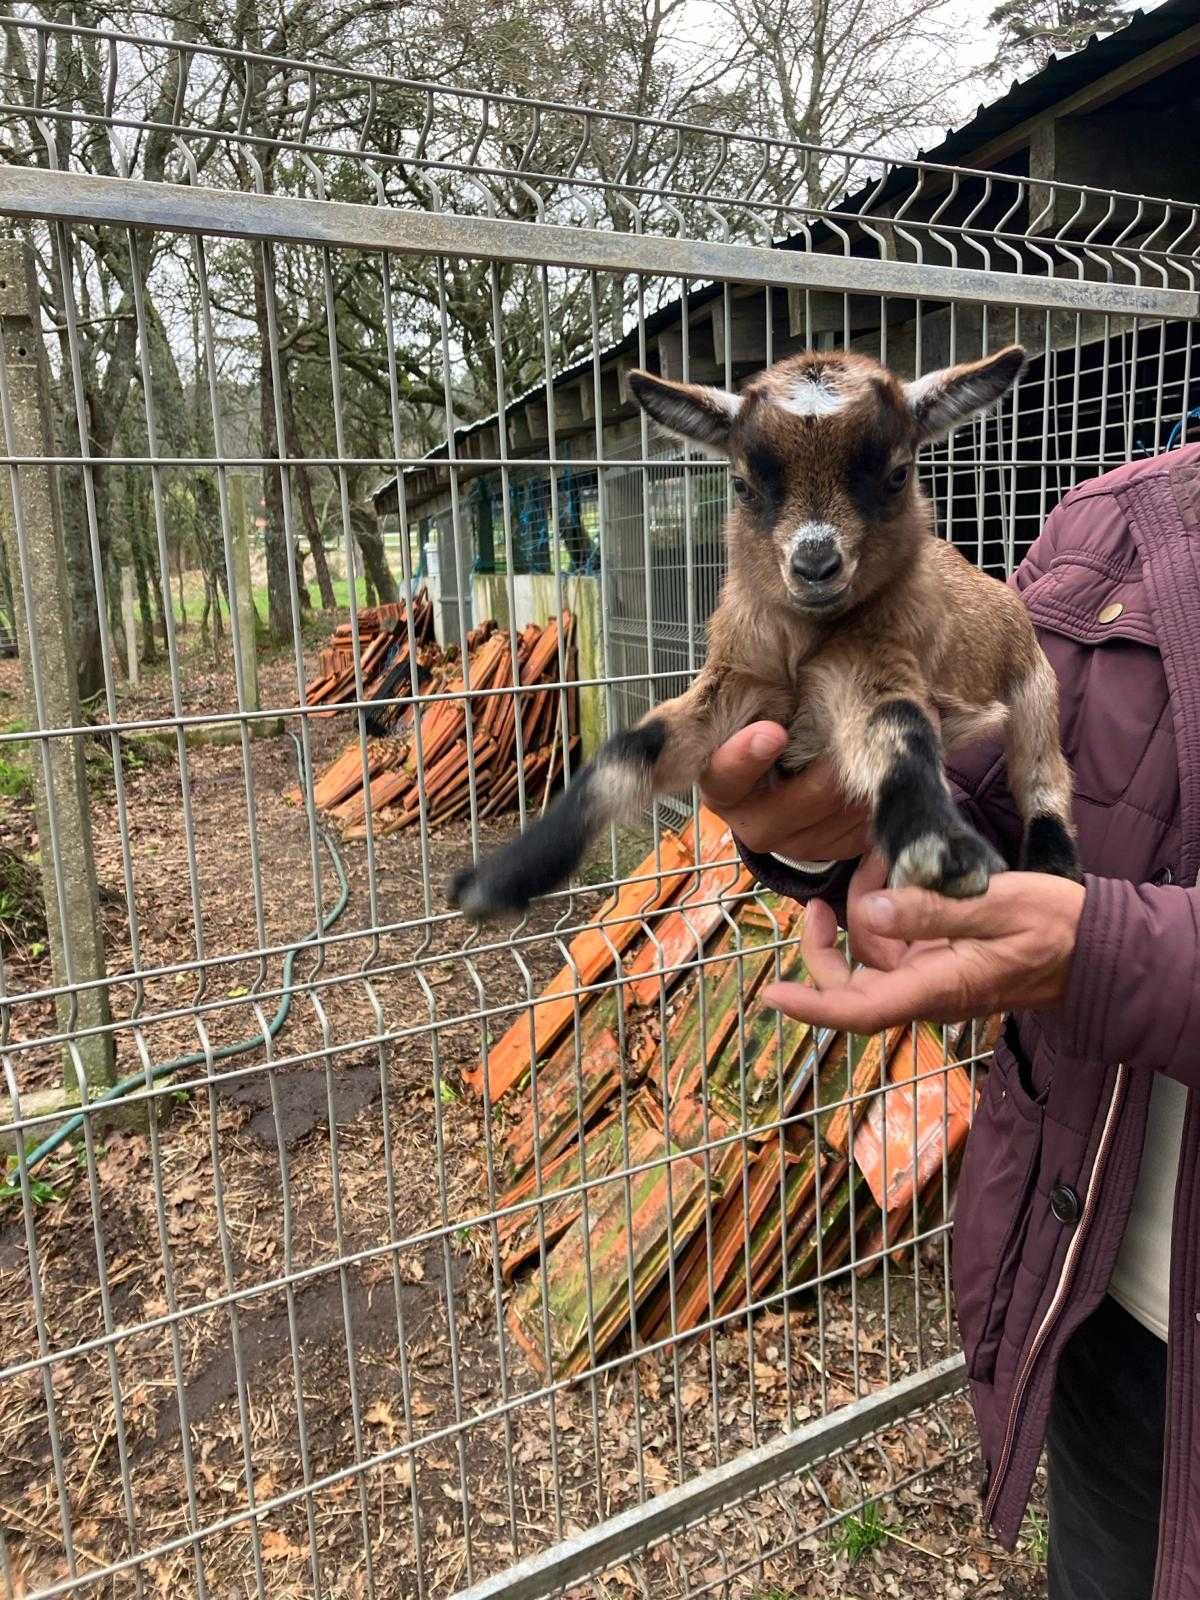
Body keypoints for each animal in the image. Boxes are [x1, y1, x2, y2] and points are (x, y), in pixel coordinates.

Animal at [451, 347, 1081, 928]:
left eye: (897, 474)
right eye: (742, 484)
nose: (815, 564)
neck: (802, 645)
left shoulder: (875, 662)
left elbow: (900, 728)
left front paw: (940, 851)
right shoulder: (739, 685)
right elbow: (628, 751)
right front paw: (497, 880)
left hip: (1037, 688)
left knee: (1043, 776)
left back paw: (1056, 868)